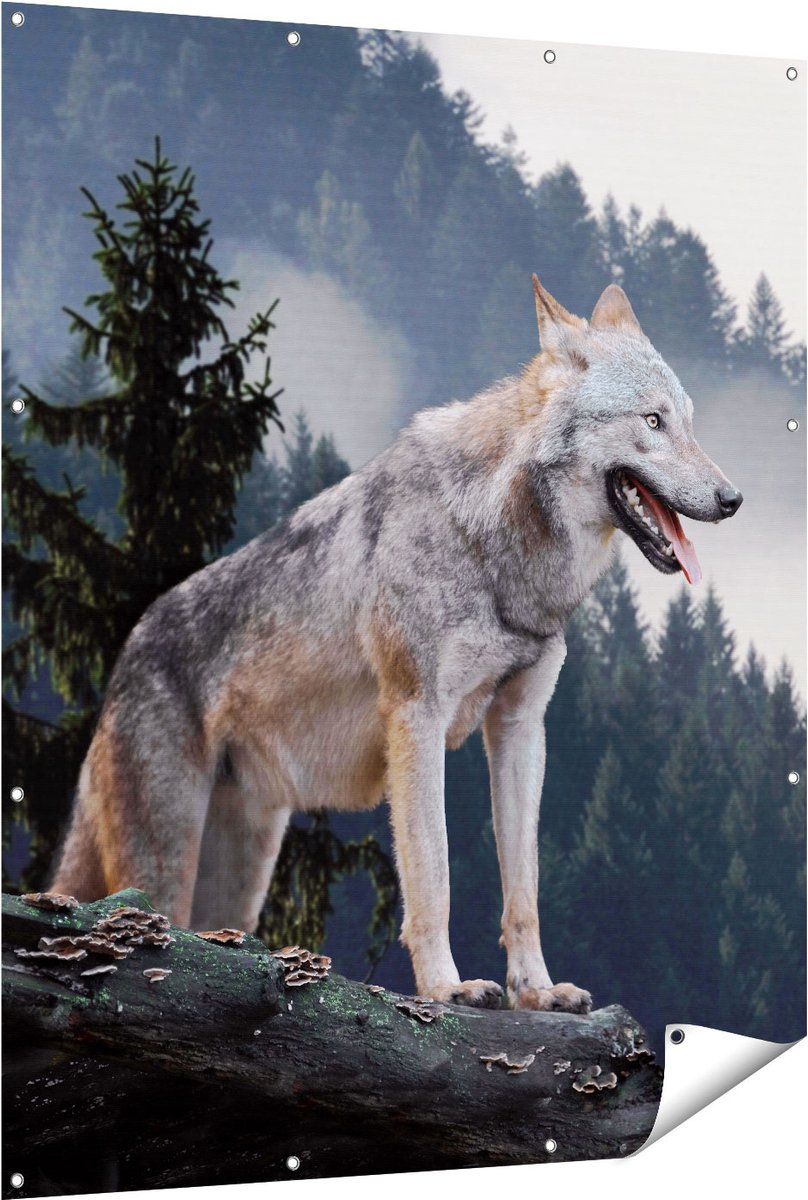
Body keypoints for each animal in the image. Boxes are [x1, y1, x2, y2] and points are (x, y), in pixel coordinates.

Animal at [52, 277, 742, 1011]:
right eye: (652, 421)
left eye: (689, 421)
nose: (733, 498)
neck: (494, 543)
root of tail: (125, 657)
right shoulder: (417, 717)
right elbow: (433, 877)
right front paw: (446, 987)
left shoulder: (521, 727)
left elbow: (523, 890)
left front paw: (536, 992)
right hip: (164, 867)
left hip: (238, 879)